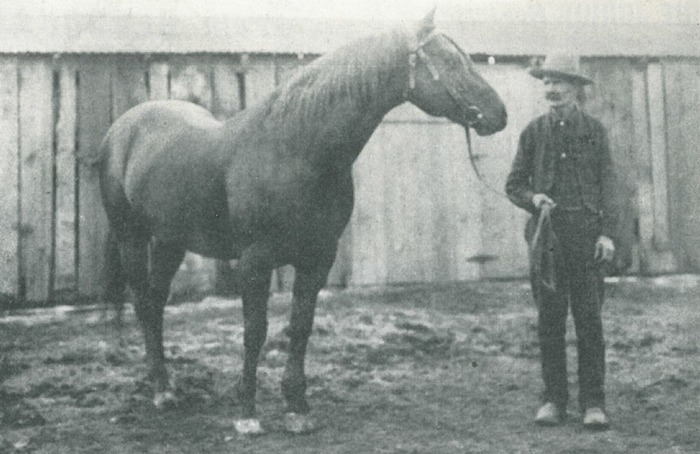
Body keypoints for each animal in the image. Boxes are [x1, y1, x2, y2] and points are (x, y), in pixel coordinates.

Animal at [84, 9, 507, 434]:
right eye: (450, 62)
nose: (499, 115)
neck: (295, 151)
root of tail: (123, 128)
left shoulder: (317, 258)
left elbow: (300, 326)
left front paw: (297, 408)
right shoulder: (255, 261)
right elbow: (255, 331)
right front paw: (247, 413)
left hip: (171, 240)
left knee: (155, 302)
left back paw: (168, 386)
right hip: (132, 237)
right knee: (143, 302)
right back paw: (161, 391)